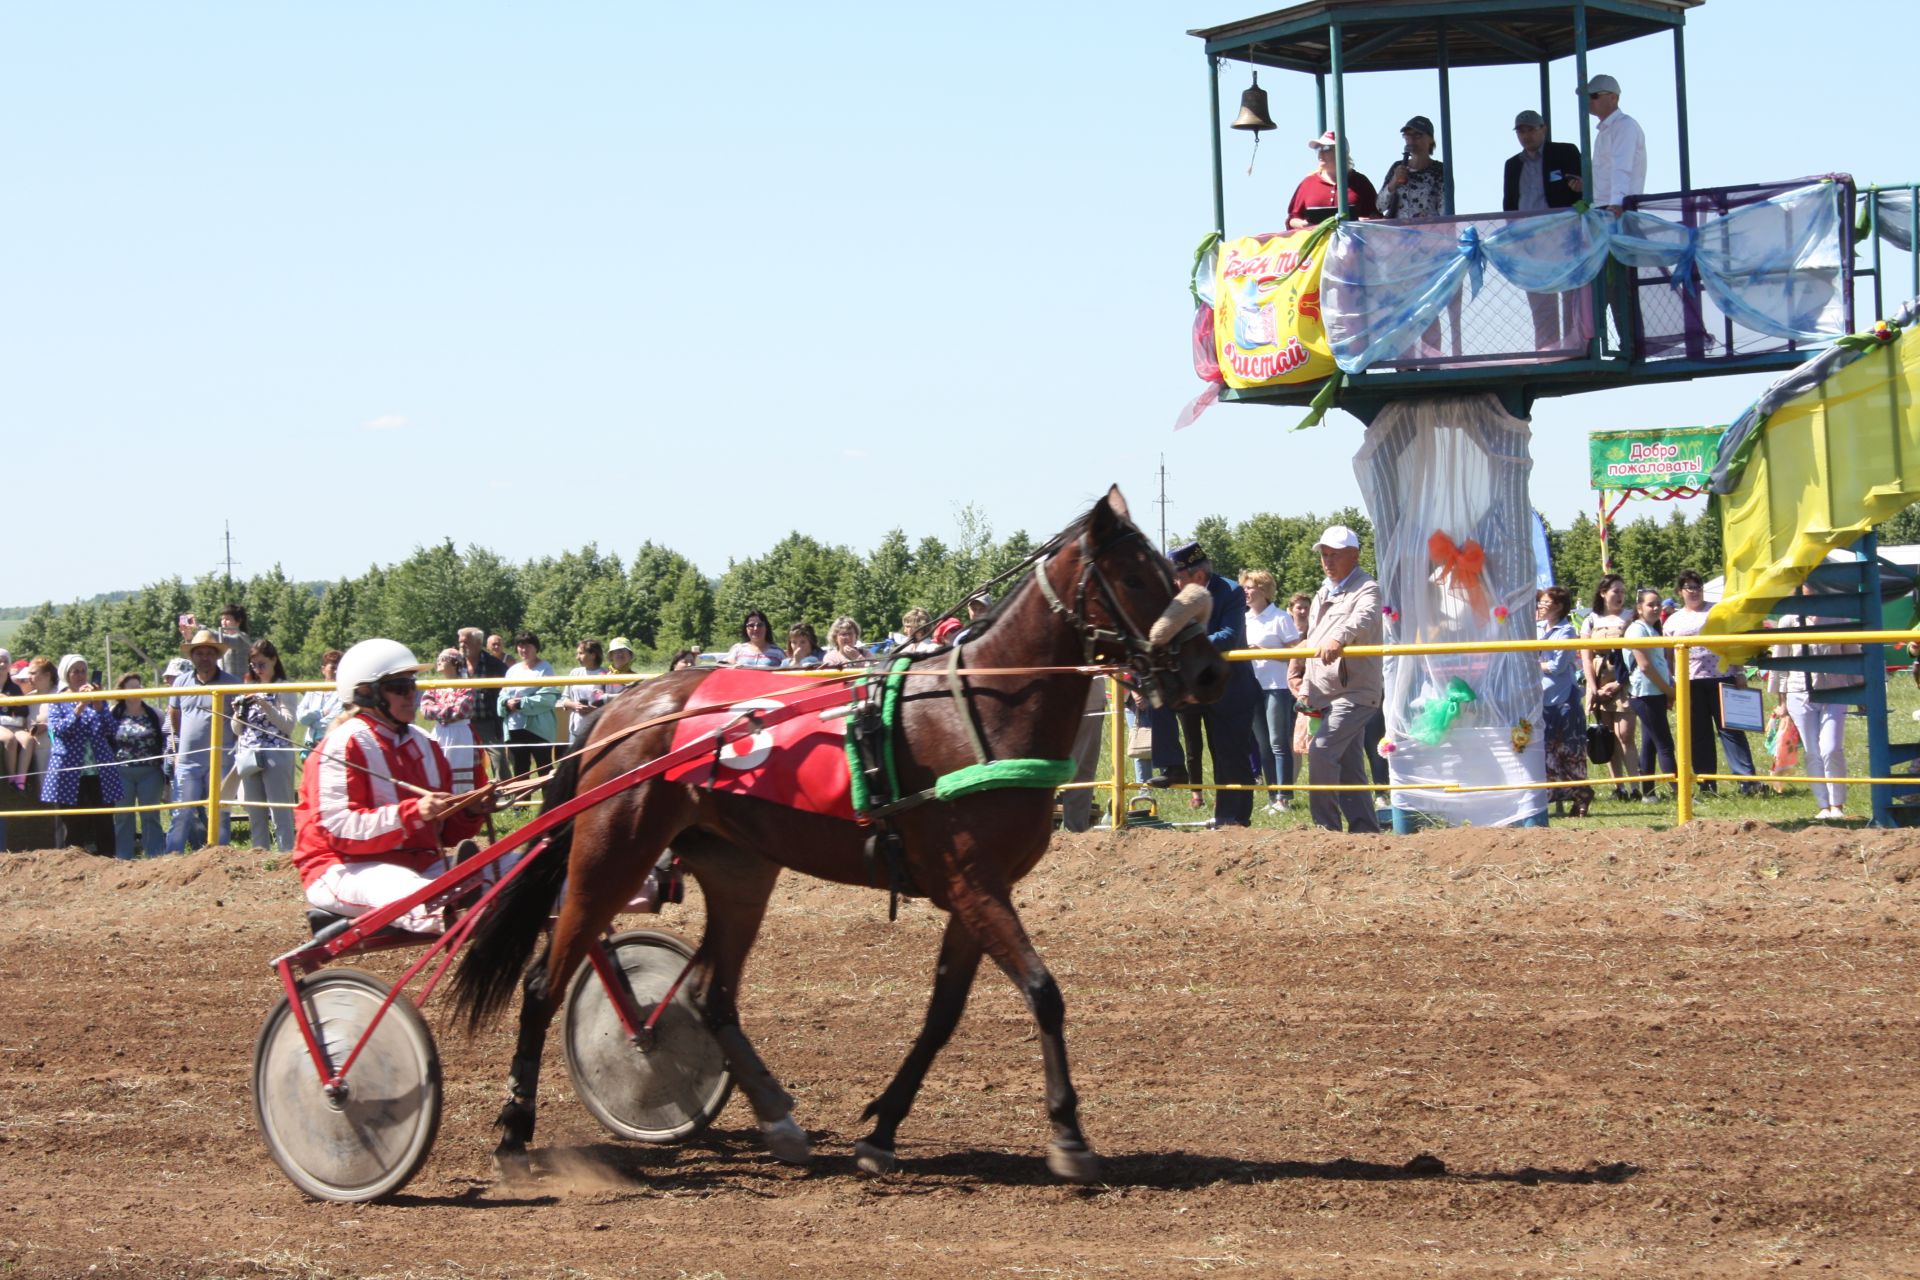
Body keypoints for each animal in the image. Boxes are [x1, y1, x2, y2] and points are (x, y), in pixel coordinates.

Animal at [449, 487, 1221, 1182]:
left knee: (709, 995)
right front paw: (1067, 1132)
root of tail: (620, 711)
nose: (1206, 668)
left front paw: (882, 1130)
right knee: (544, 984)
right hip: (611, 855)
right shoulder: (973, 885)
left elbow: (943, 1014)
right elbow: (1043, 991)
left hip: (739, 869)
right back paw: (515, 1135)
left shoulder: (975, 893)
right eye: (1134, 577)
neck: (980, 710)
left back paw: (778, 1120)